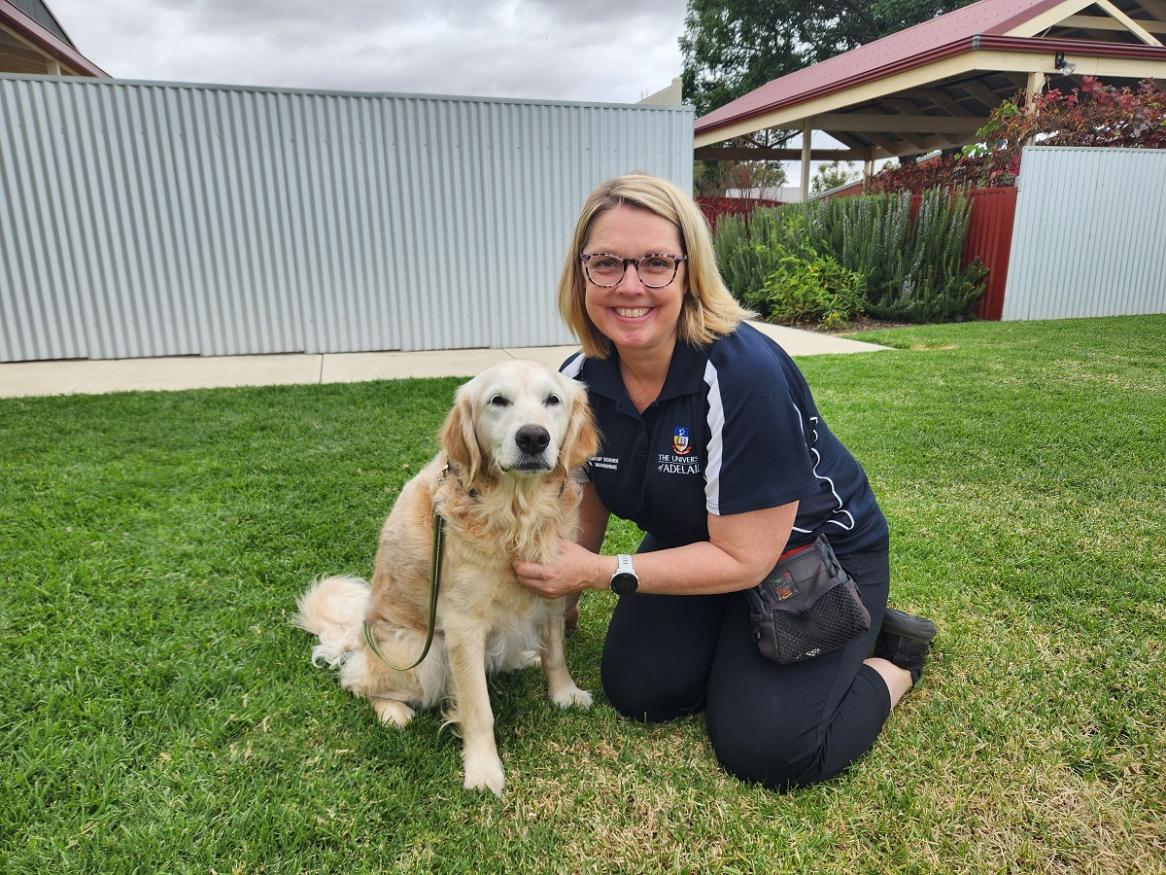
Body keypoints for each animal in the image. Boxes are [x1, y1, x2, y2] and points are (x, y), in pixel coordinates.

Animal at [291, 359, 601, 798]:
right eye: (498, 400)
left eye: (552, 400)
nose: (533, 438)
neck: (516, 513)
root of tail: (357, 635)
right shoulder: (462, 626)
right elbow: (477, 708)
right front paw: (483, 769)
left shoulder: (551, 591)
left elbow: (556, 654)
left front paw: (565, 694)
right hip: (426, 655)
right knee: (354, 680)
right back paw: (392, 711)